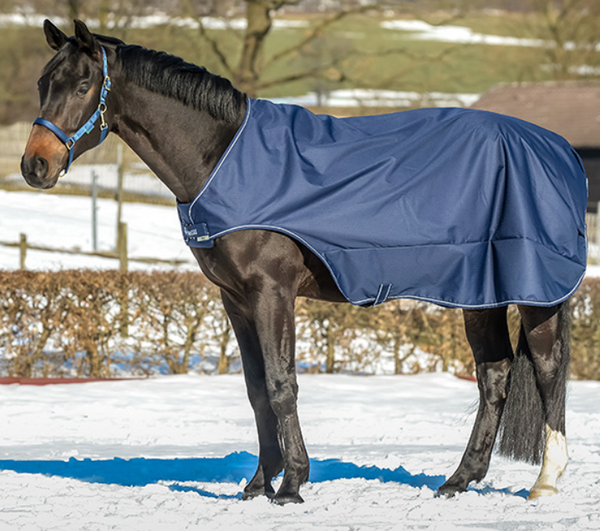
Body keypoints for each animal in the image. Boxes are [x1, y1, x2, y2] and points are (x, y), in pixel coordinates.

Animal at [19, 18, 584, 504]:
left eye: (84, 84)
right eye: (44, 82)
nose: (34, 165)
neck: (224, 159)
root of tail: (558, 151)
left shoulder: (273, 291)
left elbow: (280, 383)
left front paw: (291, 484)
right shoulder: (235, 298)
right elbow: (255, 389)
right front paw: (256, 484)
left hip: (532, 295)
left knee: (547, 369)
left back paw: (545, 481)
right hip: (479, 293)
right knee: (496, 374)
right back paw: (459, 480)